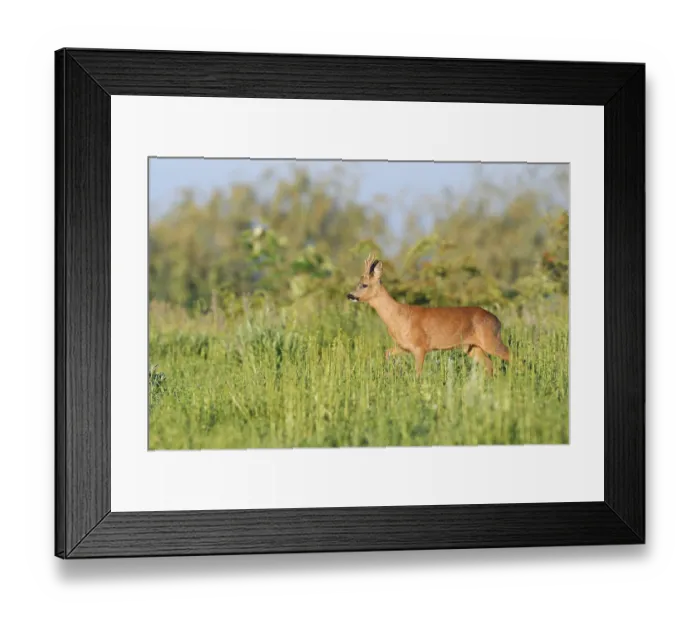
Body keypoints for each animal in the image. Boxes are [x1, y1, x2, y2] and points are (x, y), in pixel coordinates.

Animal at [346, 253, 510, 377]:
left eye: (364, 285)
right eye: (358, 283)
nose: (350, 295)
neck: (398, 317)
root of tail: (498, 321)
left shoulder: (420, 346)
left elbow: (418, 373)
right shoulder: (405, 346)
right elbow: (387, 352)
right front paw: (387, 372)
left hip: (490, 339)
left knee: (510, 355)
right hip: (471, 347)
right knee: (489, 364)